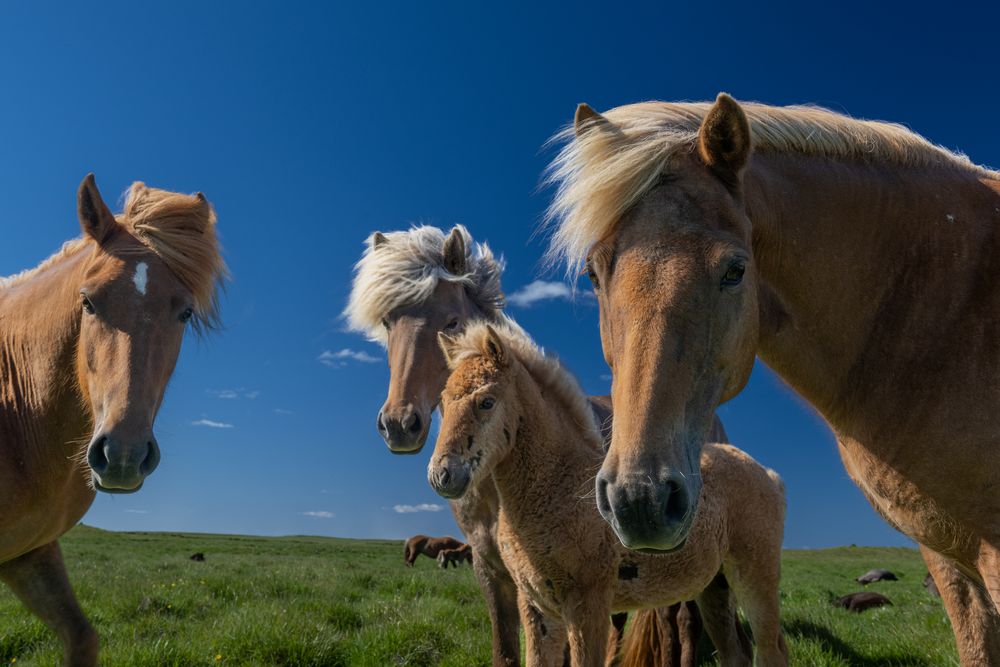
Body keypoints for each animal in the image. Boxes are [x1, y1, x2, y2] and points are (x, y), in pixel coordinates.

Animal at [345, 225, 726, 665]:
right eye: (388, 322)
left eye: (452, 321)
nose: (398, 424)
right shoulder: (492, 570)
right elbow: (508, 650)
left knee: (677, 621)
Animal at [430, 322, 787, 667]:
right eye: (443, 403)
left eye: (486, 401)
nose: (441, 474)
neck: (559, 485)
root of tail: (767, 474)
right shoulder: (537, 608)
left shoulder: (588, 606)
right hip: (714, 586)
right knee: (736, 653)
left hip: (756, 576)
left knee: (772, 650)